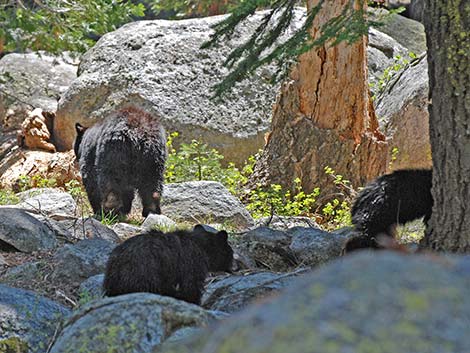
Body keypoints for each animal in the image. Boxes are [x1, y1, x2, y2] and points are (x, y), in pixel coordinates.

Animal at [103, 224, 234, 304]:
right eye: (231, 252)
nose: (234, 267)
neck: (201, 246)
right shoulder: (191, 262)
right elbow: (190, 286)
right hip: (145, 273)